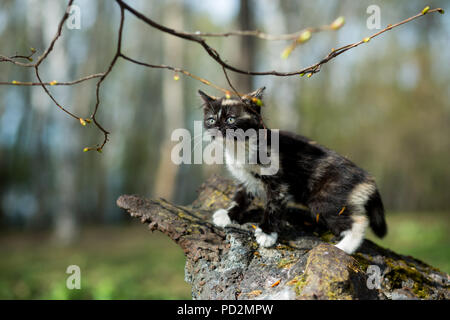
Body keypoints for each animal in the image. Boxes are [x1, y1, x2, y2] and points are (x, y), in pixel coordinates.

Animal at [200, 86, 386, 254]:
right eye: (211, 120)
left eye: (231, 120)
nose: (217, 128)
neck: (240, 148)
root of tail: (367, 177)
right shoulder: (246, 179)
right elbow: (241, 197)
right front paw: (228, 214)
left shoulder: (279, 182)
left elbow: (273, 205)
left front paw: (267, 233)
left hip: (326, 198)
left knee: (360, 220)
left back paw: (343, 247)